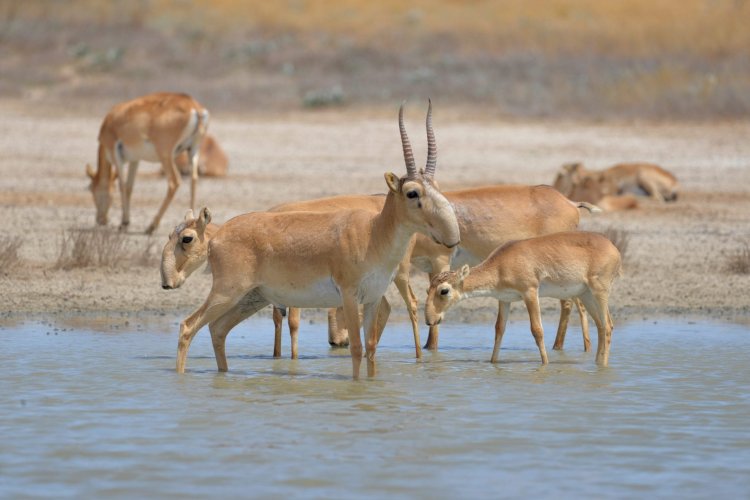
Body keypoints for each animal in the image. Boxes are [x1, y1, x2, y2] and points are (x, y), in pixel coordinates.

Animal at [86, 93, 210, 233]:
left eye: (91, 189)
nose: (100, 220)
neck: (112, 119)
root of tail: (193, 106)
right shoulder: (135, 160)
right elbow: (129, 187)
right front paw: (126, 222)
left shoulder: (116, 155)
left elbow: (122, 186)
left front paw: (123, 223)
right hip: (192, 150)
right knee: (193, 180)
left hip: (166, 156)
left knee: (174, 182)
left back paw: (151, 226)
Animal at [174, 101, 462, 376]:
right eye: (412, 192)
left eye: (436, 187)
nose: (452, 236)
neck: (373, 234)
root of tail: (217, 238)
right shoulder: (349, 296)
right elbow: (356, 348)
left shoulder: (371, 299)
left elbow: (370, 349)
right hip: (227, 293)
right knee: (188, 326)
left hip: (251, 298)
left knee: (217, 329)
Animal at [426, 231, 624, 368]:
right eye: (428, 289)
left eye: (444, 290)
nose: (429, 320)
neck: (500, 265)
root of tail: (614, 249)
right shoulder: (504, 300)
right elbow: (499, 329)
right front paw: (493, 362)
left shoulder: (530, 292)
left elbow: (537, 330)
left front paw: (545, 364)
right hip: (586, 295)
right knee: (601, 326)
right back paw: (597, 363)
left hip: (599, 292)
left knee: (607, 326)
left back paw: (603, 365)